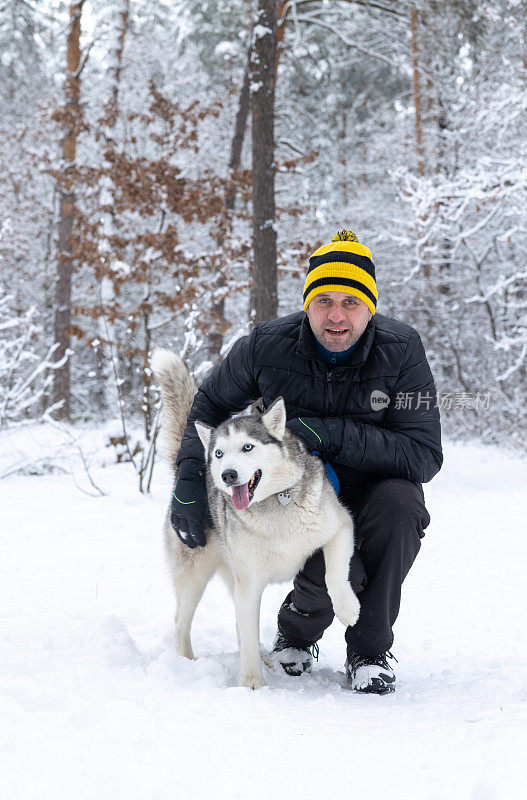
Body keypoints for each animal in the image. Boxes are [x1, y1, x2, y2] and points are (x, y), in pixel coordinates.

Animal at [152, 348, 358, 688]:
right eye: (219, 453)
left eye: (247, 447)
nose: (227, 475)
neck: (276, 503)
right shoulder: (249, 583)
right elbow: (247, 633)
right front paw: (250, 684)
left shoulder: (340, 527)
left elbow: (333, 575)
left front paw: (348, 609)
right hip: (196, 575)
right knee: (181, 622)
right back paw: (186, 664)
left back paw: (266, 658)